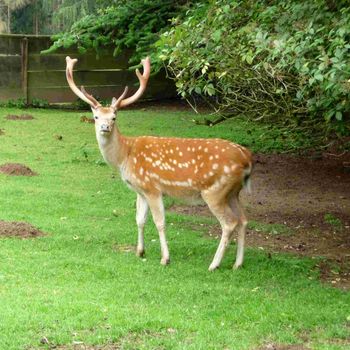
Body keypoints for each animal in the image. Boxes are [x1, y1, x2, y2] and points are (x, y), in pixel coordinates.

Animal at [65, 56, 252, 270]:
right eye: (96, 117)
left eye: (114, 117)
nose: (105, 127)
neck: (125, 156)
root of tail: (247, 157)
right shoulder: (140, 190)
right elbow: (139, 220)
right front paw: (140, 251)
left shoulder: (152, 187)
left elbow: (160, 222)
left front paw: (165, 258)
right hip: (233, 192)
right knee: (243, 220)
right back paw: (237, 264)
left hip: (214, 191)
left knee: (229, 223)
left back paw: (214, 264)